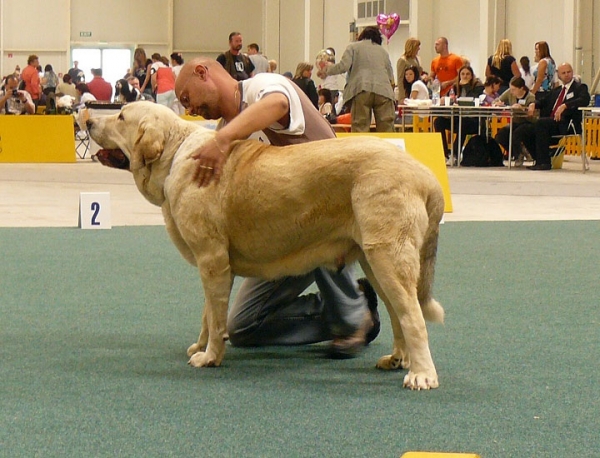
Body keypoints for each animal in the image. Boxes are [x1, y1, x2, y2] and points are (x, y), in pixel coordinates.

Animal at [88, 102, 446, 388]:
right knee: (397, 312)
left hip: (388, 255)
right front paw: (201, 346)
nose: (89, 121)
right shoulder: (214, 265)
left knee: (413, 316)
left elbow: (215, 317)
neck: (176, 155)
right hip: (375, 260)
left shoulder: (211, 259)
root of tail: (425, 175)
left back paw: (421, 375)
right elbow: (209, 313)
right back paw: (398, 359)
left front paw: (210, 357)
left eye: (120, 116)